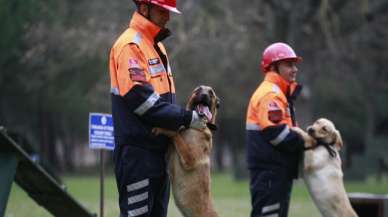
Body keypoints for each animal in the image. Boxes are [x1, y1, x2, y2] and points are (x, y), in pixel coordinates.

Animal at [154, 85, 220, 217]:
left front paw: (163, 128)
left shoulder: (190, 159)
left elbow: (175, 133)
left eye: (211, 93)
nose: (204, 95)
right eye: (198, 90)